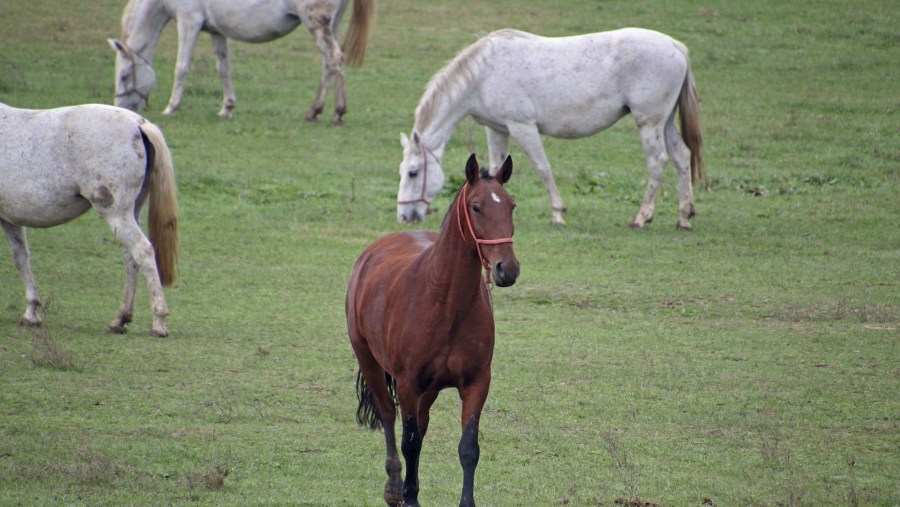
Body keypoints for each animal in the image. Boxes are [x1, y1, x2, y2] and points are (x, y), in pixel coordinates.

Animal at [0, 102, 179, 338]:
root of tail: (138, 124)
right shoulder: (10, 219)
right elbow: (21, 258)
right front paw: (32, 312)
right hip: (130, 213)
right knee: (131, 258)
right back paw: (120, 319)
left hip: (116, 214)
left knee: (144, 252)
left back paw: (158, 321)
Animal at [107, 0, 374, 123]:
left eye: (124, 76)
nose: (120, 109)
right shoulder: (216, 31)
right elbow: (223, 69)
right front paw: (227, 107)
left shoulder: (188, 22)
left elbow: (181, 67)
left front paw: (172, 107)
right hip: (328, 26)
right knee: (328, 64)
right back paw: (314, 111)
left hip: (316, 25)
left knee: (335, 59)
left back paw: (338, 112)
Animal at [346, 155, 516, 507]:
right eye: (476, 207)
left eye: (511, 206)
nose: (507, 269)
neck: (446, 304)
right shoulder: (408, 384)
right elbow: (409, 442)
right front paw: (406, 496)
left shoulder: (477, 383)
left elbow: (468, 448)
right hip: (369, 360)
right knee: (388, 415)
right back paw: (395, 488)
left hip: (429, 390)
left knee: (420, 428)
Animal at [400, 28, 704, 231]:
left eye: (413, 172)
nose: (403, 216)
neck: (484, 73)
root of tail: (675, 46)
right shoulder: (497, 130)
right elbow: (495, 168)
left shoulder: (522, 127)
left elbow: (542, 168)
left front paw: (557, 213)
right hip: (665, 122)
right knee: (681, 157)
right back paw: (684, 216)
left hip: (649, 122)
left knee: (657, 162)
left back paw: (642, 217)